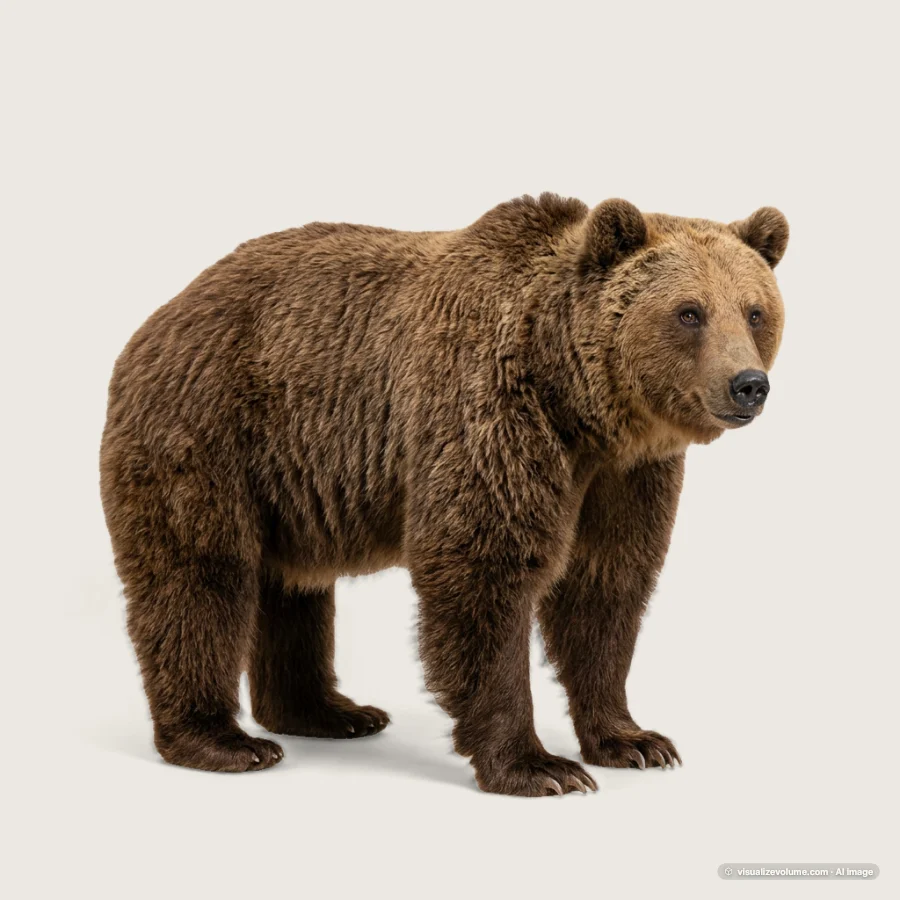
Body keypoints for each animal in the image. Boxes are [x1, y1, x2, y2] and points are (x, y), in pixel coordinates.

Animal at [100, 194, 788, 796]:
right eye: (690, 312)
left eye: (754, 310)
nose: (748, 384)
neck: (580, 408)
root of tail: (161, 314)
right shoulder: (488, 412)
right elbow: (484, 571)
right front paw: (539, 767)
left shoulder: (626, 474)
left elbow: (604, 585)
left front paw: (635, 741)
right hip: (209, 431)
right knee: (198, 576)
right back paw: (224, 741)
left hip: (292, 479)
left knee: (293, 589)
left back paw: (331, 712)